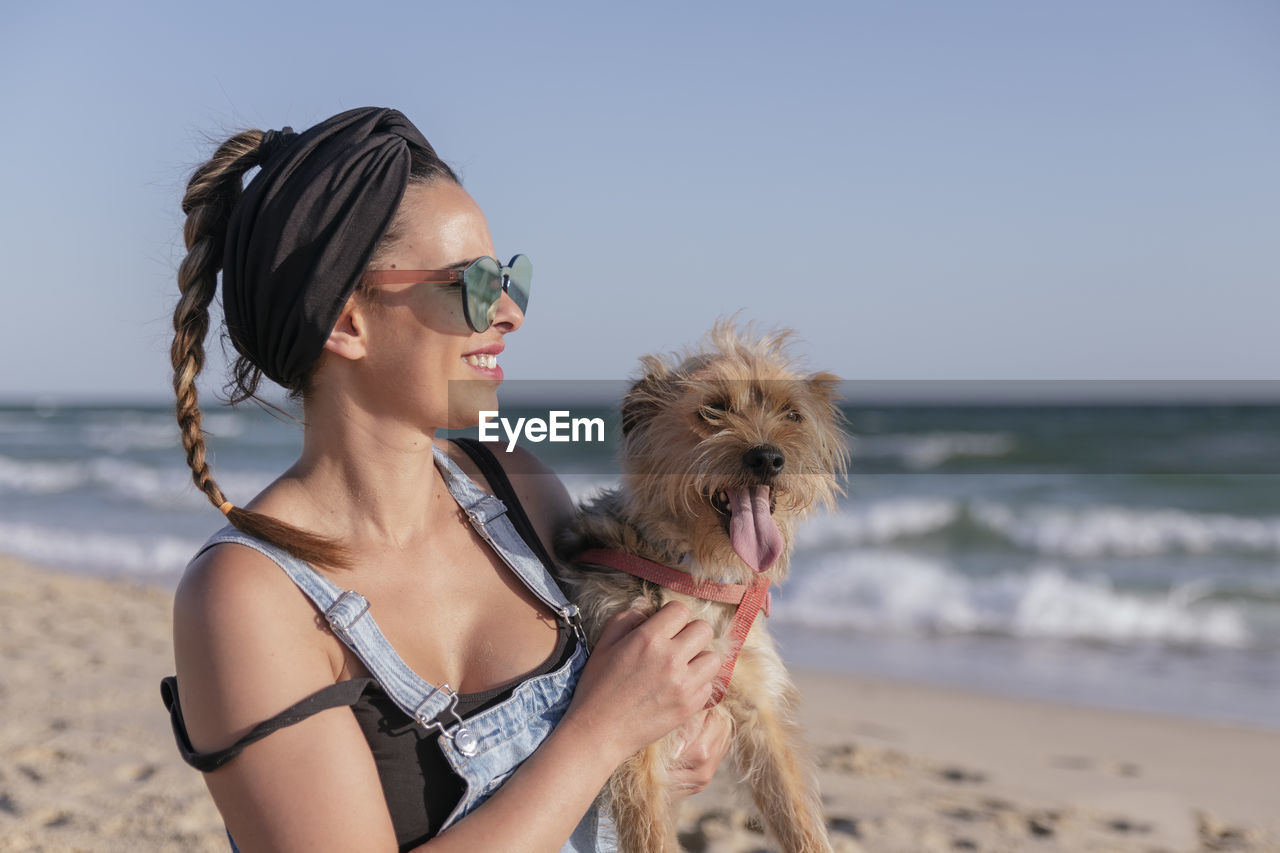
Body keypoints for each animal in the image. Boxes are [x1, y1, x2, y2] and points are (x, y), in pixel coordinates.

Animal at [558, 322, 849, 850]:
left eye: (792, 414)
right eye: (713, 409)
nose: (768, 457)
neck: (696, 575)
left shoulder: (759, 710)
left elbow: (797, 814)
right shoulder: (635, 736)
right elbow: (650, 832)